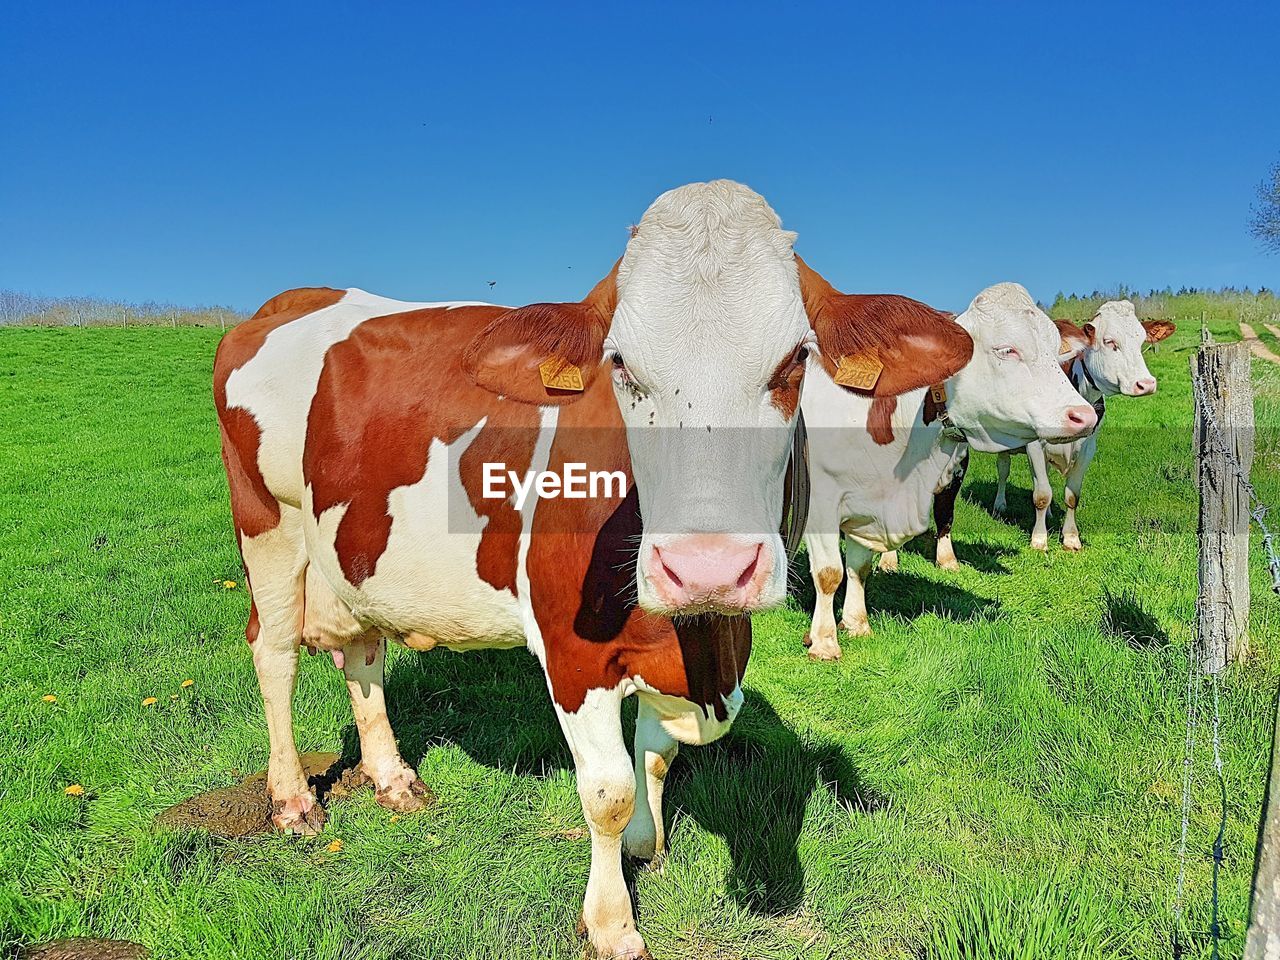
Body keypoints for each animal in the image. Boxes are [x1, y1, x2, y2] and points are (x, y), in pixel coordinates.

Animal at [212, 181, 967, 960]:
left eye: (794, 363)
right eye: (622, 365)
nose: (707, 568)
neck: (703, 650)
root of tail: (287, 301)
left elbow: (656, 756)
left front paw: (645, 845)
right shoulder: (571, 649)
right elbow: (607, 792)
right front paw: (611, 923)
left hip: (353, 557)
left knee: (364, 657)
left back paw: (391, 778)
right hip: (267, 526)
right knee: (274, 653)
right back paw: (290, 797)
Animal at [803, 281, 1095, 660]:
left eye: (1053, 351)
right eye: (1007, 350)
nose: (1085, 415)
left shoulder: (869, 504)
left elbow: (859, 566)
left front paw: (856, 624)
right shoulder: (822, 500)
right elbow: (829, 572)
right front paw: (824, 641)